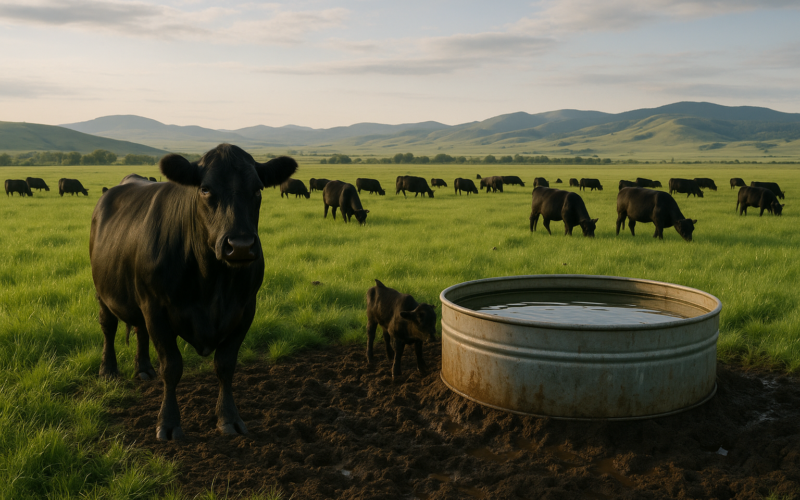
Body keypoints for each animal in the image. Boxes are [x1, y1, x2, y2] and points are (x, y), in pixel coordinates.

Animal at [90, 144, 297, 441]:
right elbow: (172, 367)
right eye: (205, 189)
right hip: (103, 291)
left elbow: (225, 365)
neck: (212, 280)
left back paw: (143, 369)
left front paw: (228, 418)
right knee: (108, 326)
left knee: (140, 330)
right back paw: (108, 370)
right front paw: (168, 423)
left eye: (258, 189)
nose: (241, 246)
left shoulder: (245, 309)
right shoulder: (156, 309)